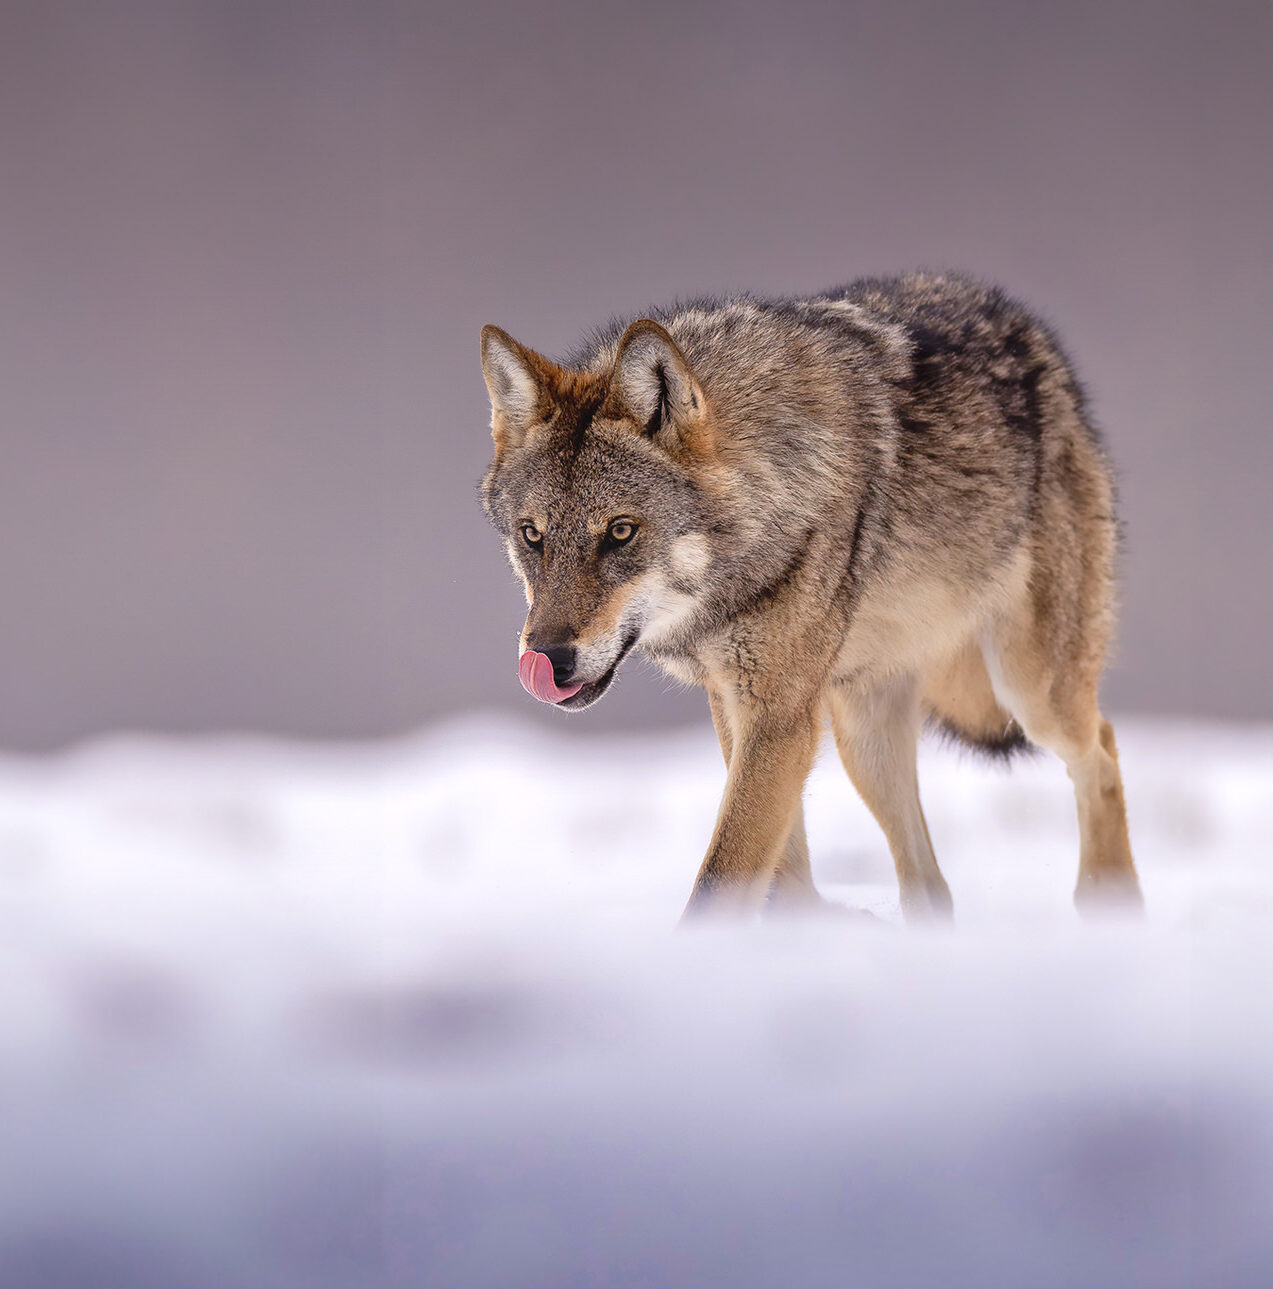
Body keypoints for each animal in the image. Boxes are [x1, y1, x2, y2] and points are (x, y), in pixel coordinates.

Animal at [479, 272, 1143, 920]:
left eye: (620, 532)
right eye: (533, 535)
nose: (546, 661)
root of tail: (1036, 338)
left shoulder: (778, 718)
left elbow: (721, 881)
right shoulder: (741, 708)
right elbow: (780, 870)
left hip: (1029, 690)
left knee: (1103, 749)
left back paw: (1110, 906)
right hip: (863, 734)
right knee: (931, 887)